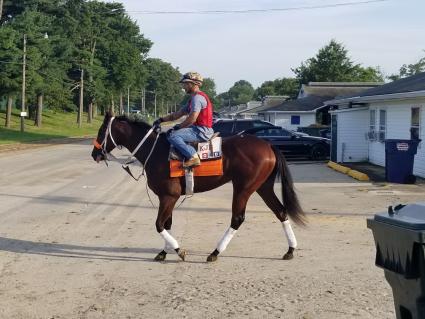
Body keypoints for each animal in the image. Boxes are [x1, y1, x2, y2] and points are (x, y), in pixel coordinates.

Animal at [90, 114, 304, 264]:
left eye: (101, 130)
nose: (94, 154)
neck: (156, 151)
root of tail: (268, 145)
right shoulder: (168, 198)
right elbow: (167, 224)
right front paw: (164, 252)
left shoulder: (169, 196)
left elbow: (159, 225)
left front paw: (178, 250)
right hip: (263, 187)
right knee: (280, 211)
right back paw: (290, 249)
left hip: (243, 188)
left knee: (237, 218)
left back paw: (215, 252)